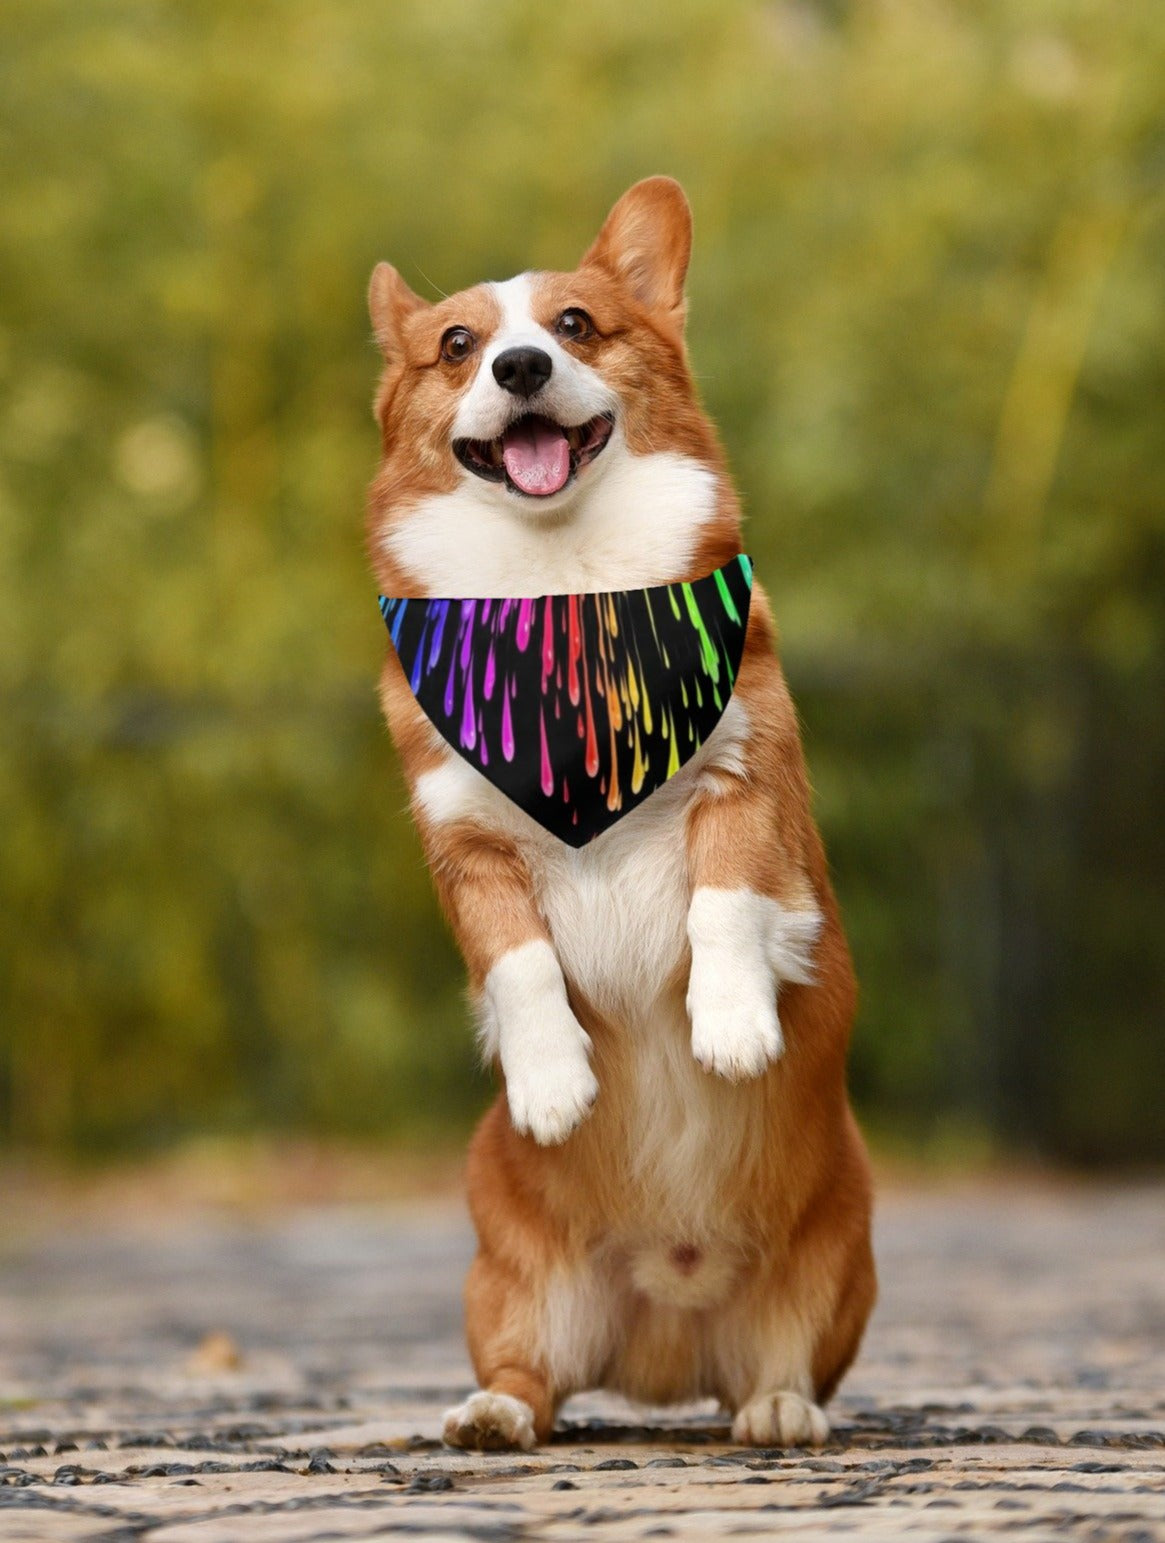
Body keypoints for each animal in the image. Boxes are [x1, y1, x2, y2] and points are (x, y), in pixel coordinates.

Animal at [367, 177, 876, 1444]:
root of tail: (664, 1338)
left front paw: (731, 1024)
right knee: (532, 1378)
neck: (566, 595)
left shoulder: (746, 780)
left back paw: (779, 1409)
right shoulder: (464, 847)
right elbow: (518, 963)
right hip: (506, 1268)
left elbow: (725, 901)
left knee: (779, 1363)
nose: (520, 366)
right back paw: (491, 1416)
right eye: (458, 345)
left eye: (577, 324)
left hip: (842, 1255)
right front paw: (553, 1081)